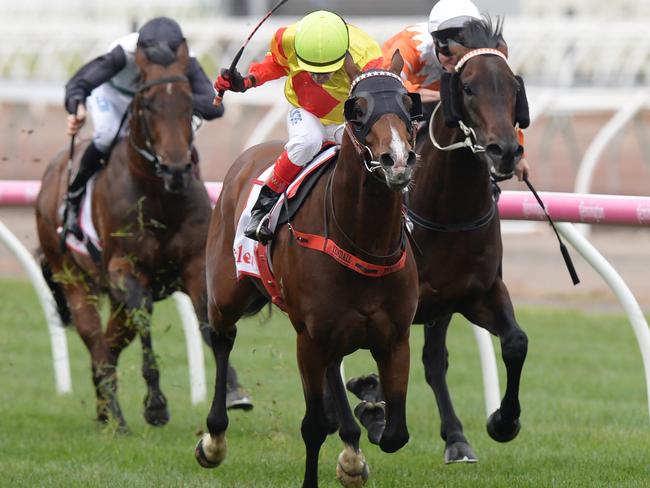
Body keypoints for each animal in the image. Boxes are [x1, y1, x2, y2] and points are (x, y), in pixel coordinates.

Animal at [36, 42, 220, 430]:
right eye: (148, 105)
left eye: (189, 104)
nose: (177, 169)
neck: (158, 195)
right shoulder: (125, 269)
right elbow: (146, 315)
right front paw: (156, 405)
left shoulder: (194, 265)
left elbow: (205, 320)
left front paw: (234, 392)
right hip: (75, 279)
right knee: (98, 345)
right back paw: (117, 419)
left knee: (107, 347)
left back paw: (106, 412)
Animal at [192, 51, 418, 486]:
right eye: (357, 110)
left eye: (408, 104)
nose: (396, 160)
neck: (364, 243)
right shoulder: (308, 339)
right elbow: (314, 426)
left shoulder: (395, 338)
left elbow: (396, 433)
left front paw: (365, 422)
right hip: (228, 293)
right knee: (222, 337)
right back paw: (214, 439)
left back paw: (352, 444)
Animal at [346, 16, 528, 466]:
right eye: (469, 88)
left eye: (513, 88)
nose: (505, 151)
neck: (450, 212)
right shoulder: (398, 306)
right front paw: (372, 408)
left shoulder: (476, 292)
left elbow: (515, 342)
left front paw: (503, 421)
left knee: (433, 361)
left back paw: (455, 437)